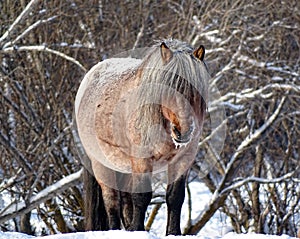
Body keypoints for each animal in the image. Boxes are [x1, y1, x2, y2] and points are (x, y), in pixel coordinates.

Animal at [75, 39, 210, 235]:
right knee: (112, 202)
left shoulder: (183, 159)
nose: (183, 131)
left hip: (123, 167)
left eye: (195, 90)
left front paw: (173, 233)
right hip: (102, 165)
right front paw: (138, 230)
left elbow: (175, 197)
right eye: (169, 88)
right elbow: (141, 196)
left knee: (124, 202)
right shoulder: (142, 160)